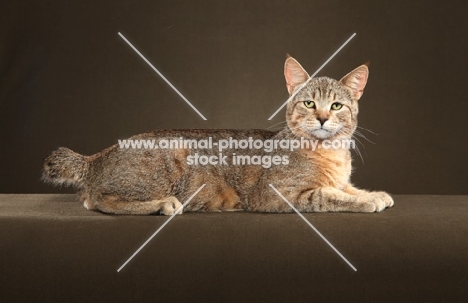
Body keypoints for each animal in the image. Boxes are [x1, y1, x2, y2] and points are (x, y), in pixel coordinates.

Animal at [42, 55, 394, 215]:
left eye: (336, 105)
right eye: (309, 103)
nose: (322, 118)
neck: (331, 153)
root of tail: (98, 156)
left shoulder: (341, 179)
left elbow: (348, 188)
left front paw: (372, 193)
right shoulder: (279, 195)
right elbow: (329, 195)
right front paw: (366, 201)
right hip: (171, 156)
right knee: (98, 200)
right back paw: (164, 204)